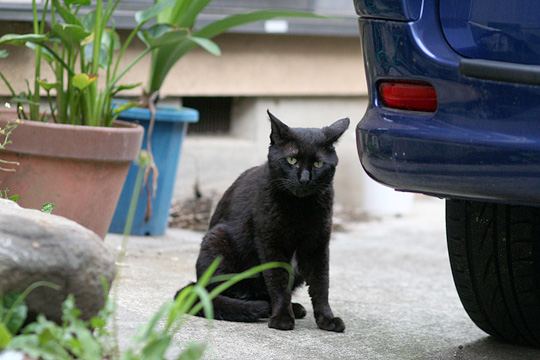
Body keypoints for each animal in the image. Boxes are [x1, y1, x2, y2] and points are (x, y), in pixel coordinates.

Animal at [179, 110, 350, 332]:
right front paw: (282, 318)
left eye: (318, 164)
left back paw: (294, 307)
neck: (300, 208)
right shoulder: (271, 243)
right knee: (222, 293)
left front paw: (327, 319)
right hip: (217, 241)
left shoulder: (318, 246)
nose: (304, 179)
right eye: (292, 159)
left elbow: (321, 284)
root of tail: (197, 284)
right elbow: (278, 281)